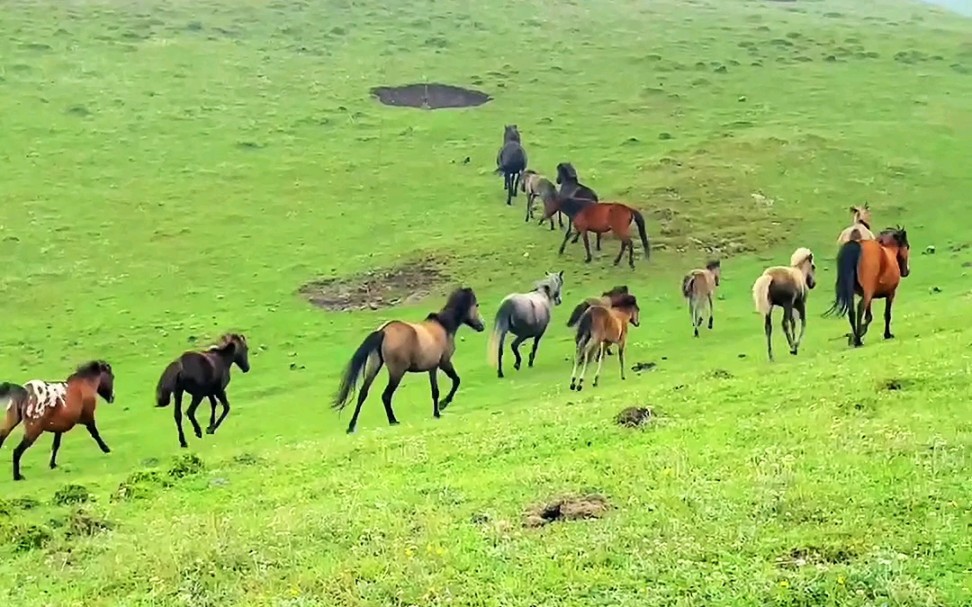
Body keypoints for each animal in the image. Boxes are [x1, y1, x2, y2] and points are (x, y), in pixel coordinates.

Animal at [334, 288, 486, 434]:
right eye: (476, 305)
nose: (482, 325)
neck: (444, 326)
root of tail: (384, 331)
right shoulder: (444, 363)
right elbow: (456, 380)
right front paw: (443, 404)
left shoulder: (432, 368)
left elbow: (435, 391)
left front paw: (436, 413)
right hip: (397, 372)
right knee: (386, 395)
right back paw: (393, 421)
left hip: (374, 367)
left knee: (363, 394)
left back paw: (351, 427)